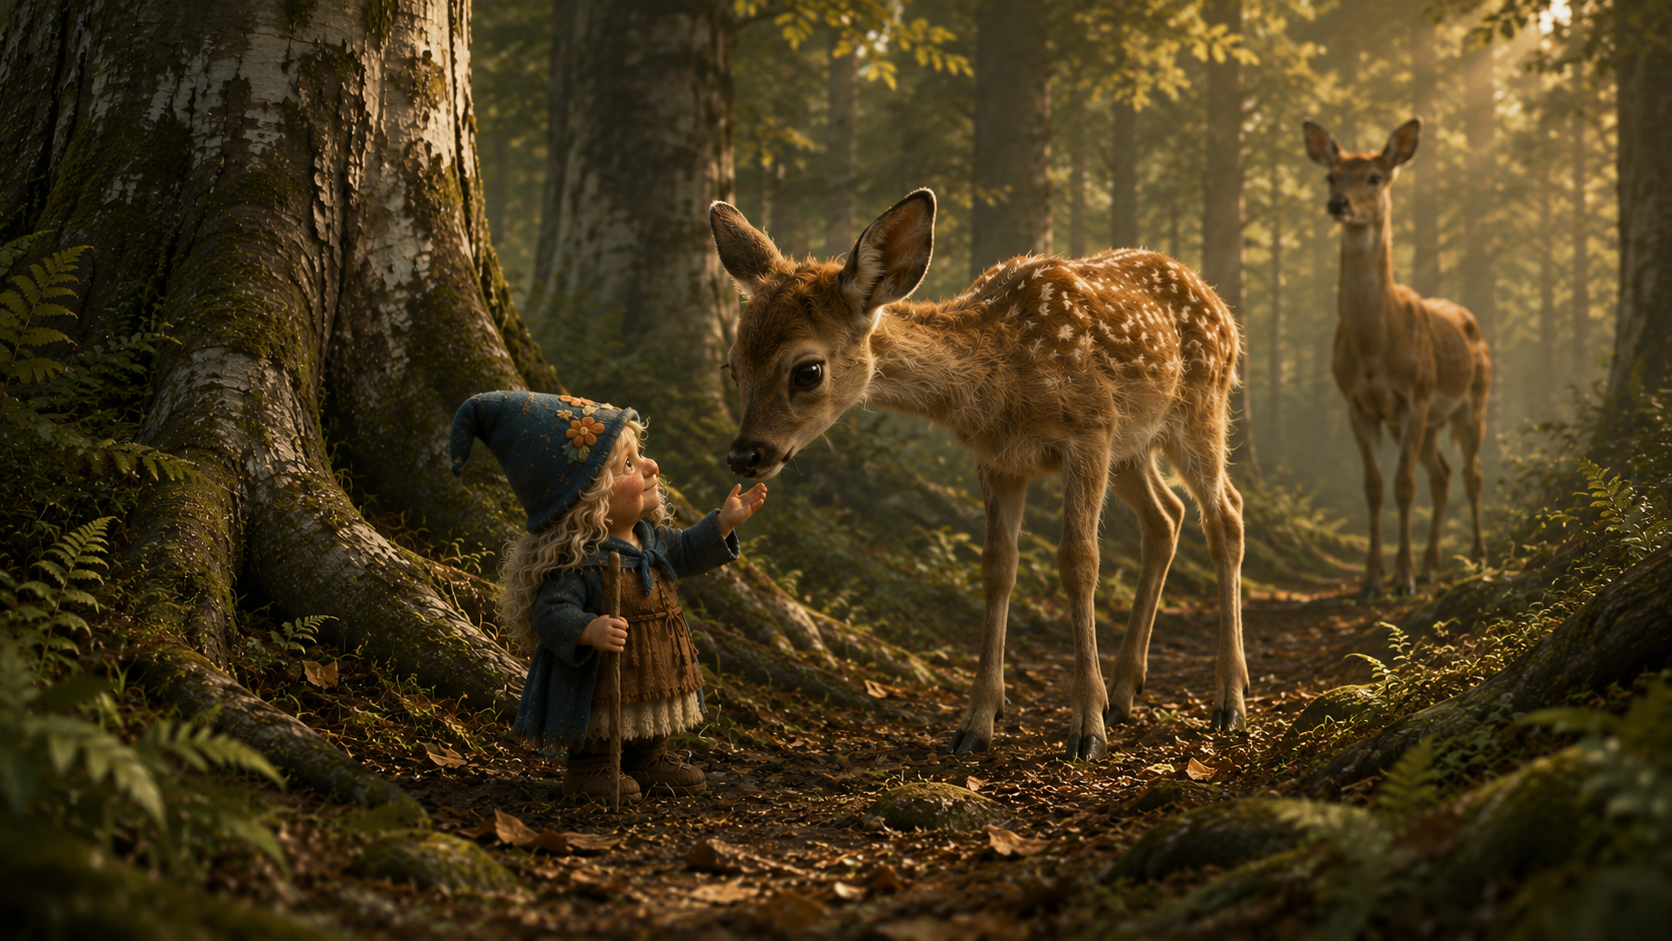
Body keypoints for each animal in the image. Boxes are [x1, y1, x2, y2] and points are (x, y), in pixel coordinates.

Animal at [709, 188, 1250, 759]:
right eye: (733, 366)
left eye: (807, 370)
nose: (744, 456)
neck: (1001, 378)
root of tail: (1221, 306)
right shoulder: (997, 459)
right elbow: (997, 566)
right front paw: (977, 721)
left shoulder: (1090, 431)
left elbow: (1079, 561)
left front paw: (1086, 728)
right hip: (1134, 446)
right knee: (1166, 516)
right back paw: (1125, 692)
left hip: (1199, 410)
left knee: (1226, 515)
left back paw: (1228, 700)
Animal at [1303, 118, 1491, 596]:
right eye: (1331, 175)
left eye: (1375, 177)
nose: (1338, 203)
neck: (1374, 348)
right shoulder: (1357, 402)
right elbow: (1373, 486)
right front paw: (1372, 578)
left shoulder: (1416, 396)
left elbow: (1404, 486)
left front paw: (1402, 577)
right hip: (1432, 423)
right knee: (1442, 474)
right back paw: (1431, 565)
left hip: (1473, 400)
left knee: (1472, 473)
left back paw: (1477, 559)